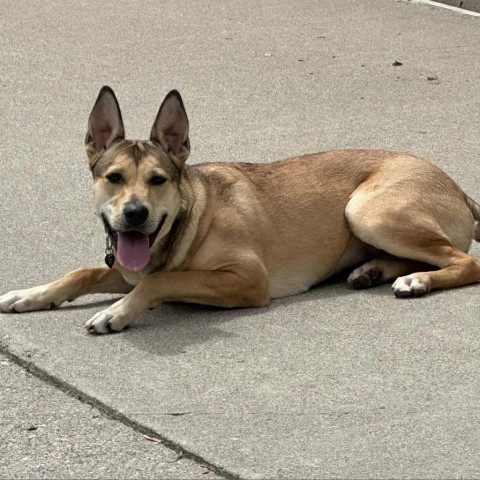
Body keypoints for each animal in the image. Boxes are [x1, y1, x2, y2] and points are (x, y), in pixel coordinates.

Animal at [0, 87, 480, 334]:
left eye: (158, 180)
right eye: (114, 177)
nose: (135, 214)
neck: (191, 217)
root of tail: (456, 184)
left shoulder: (248, 279)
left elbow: (163, 280)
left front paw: (116, 312)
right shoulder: (127, 265)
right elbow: (81, 273)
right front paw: (31, 295)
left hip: (366, 211)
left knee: (466, 262)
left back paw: (417, 281)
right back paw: (374, 270)